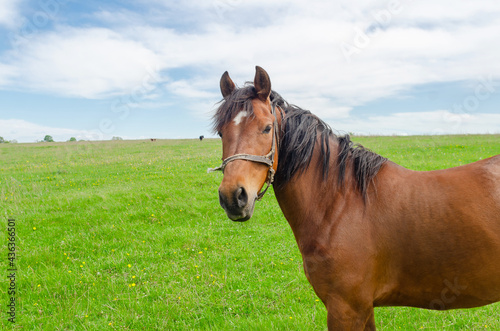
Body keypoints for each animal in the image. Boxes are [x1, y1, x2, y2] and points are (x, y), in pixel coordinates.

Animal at [210, 66, 500, 330]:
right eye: (221, 133)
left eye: (267, 128)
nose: (233, 197)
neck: (340, 205)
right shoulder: (363, 308)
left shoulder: (346, 307)